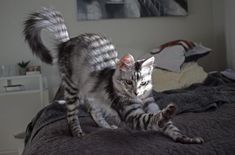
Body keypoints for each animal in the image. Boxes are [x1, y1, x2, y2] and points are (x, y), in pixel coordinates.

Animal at [23, 6, 203, 143]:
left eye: (143, 83)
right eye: (129, 82)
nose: (136, 93)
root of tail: (67, 42)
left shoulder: (150, 103)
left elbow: (169, 126)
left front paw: (186, 138)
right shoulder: (132, 115)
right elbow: (152, 118)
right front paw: (167, 113)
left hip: (91, 93)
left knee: (93, 111)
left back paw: (106, 127)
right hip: (72, 89)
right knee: (71, 115)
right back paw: (78, 133)